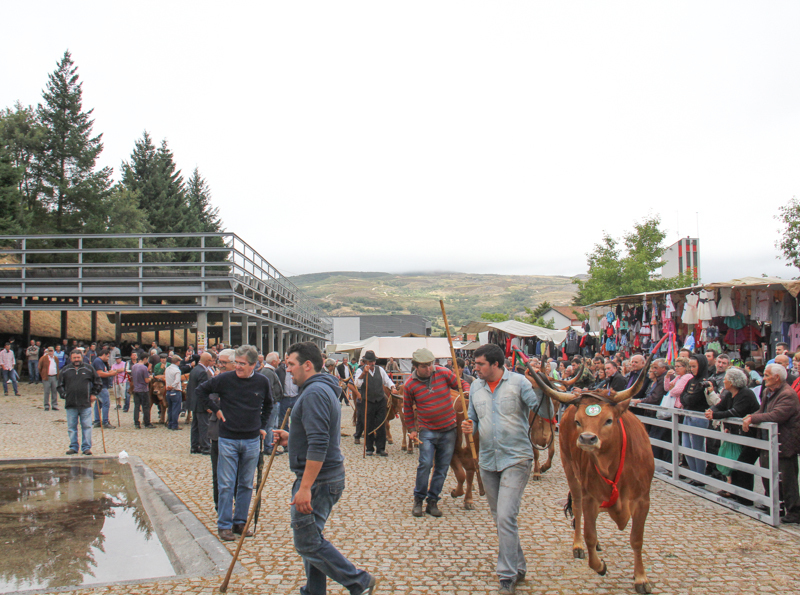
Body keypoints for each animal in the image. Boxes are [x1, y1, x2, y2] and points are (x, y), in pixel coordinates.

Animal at [528, 360, 652, 592]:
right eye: (578, 421)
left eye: (609, 420)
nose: (587, 439)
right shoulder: (589, 497)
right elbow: (589, 535)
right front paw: (599, 565)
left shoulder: (643, 501)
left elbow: (637, 539)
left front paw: (641, 578)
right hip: (572, 474)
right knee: (577, 510)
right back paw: (578, 546)